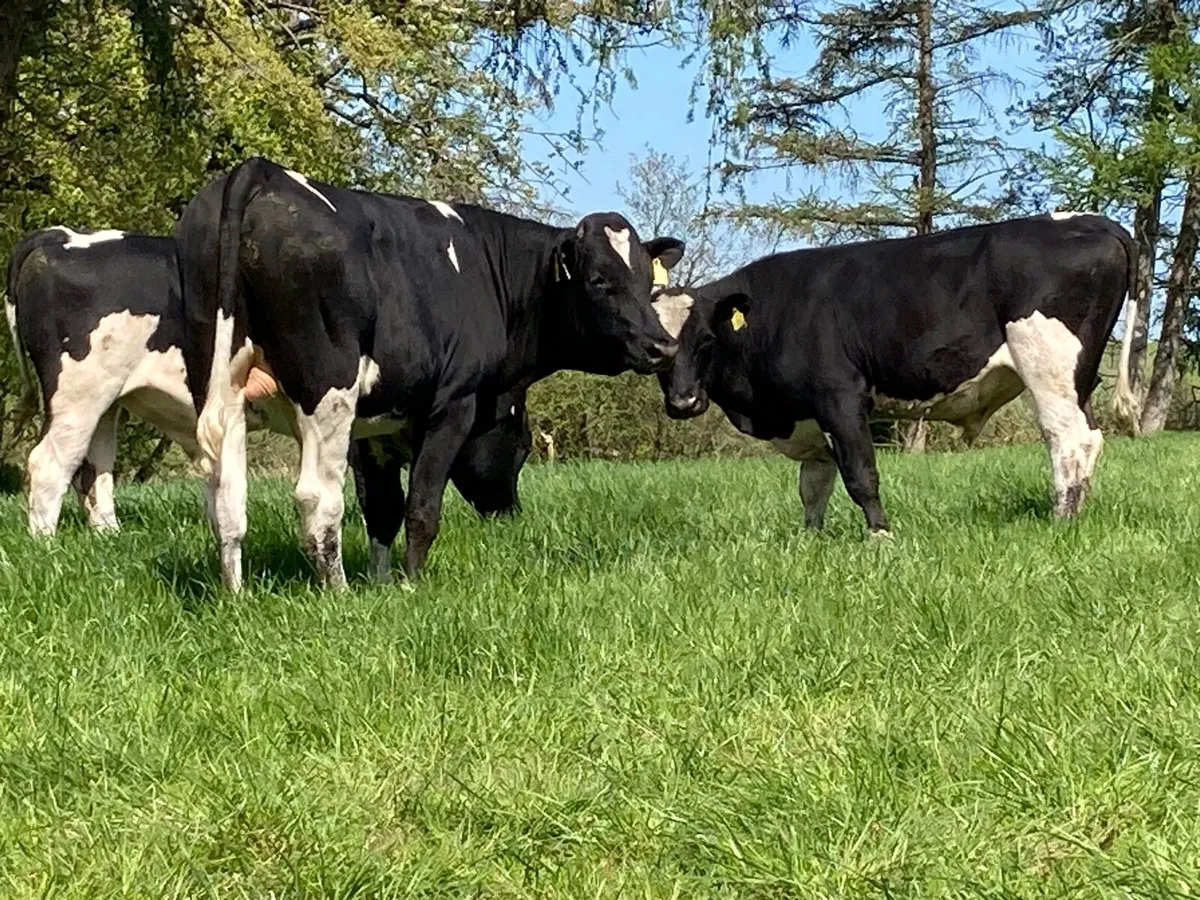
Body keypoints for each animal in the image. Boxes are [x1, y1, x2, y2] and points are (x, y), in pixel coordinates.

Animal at [4, 226, 535, 537]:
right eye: (523, 445)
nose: (512, 515)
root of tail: (61, 238)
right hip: (77, 394)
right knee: (48, 465)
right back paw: (46, 547)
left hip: (107, 402)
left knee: (94, 471)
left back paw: (108, 538)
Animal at [176, 156, 684, 591]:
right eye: (599, 280)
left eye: (647, 279)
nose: (663, 344)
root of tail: (260, 170)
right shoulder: (453, 403)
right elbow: (421, 505)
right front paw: (409, 584)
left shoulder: (375, 425)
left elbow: (382, 508)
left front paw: (381, 583)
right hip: (327, 389)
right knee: (316, 497)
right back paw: (336, 592)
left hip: (217, 379)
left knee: (224, 495)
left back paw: (236, 594)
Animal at [653, 212, 1138, 535]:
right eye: (656, 351)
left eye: (706, 340)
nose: (683, 402)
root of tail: (1091, 220)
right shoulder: (809, 415)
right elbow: (814, 485)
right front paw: (812, 540)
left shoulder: (841, 398)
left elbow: (861, 474)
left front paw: (880, 537)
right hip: (1080, 377)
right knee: (1089, 436)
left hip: (1048, 366)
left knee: (1067, 437)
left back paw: (1062, 519)